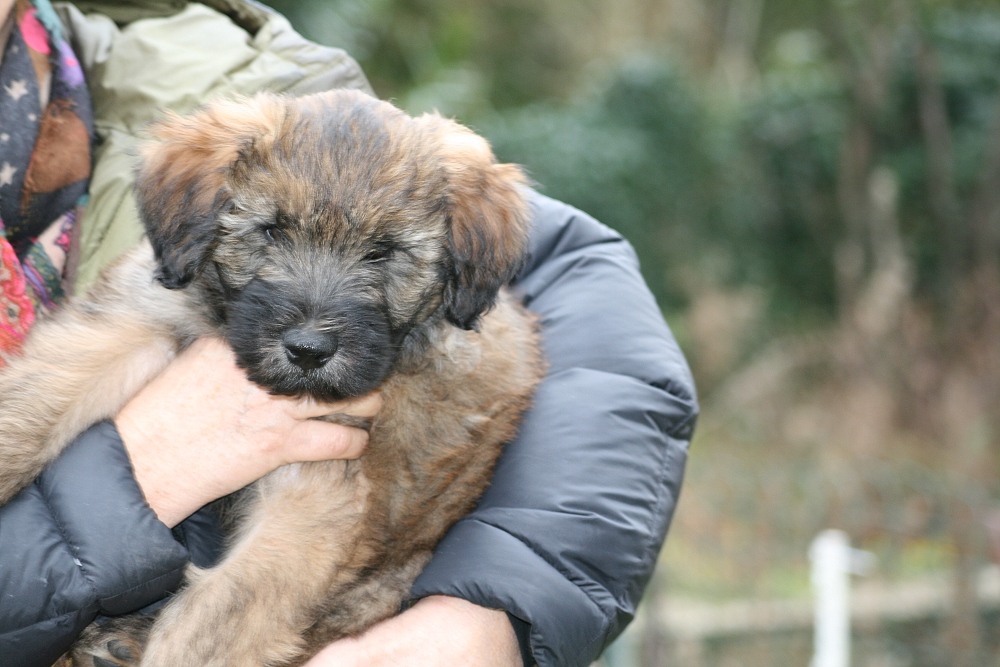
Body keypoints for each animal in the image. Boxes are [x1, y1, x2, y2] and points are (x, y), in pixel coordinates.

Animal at [0, 90, 544, 667]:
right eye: (273, 230)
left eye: (383, 251)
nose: (308, 350)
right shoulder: (135, 319)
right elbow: (40, 396)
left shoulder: (313, 496)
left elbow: (216, 616)